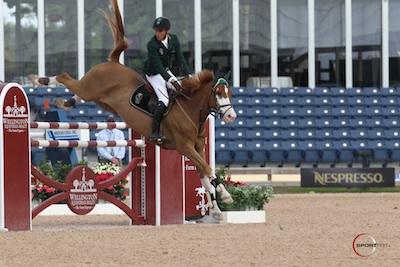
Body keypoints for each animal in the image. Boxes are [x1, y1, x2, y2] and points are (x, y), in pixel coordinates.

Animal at [36, 0, 238, 222]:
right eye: (217, 93)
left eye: (229, 92)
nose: (231, 116)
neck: (190, 109)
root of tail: (113, 63)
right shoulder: (184, 147)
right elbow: (207, 169)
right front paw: (225, 197)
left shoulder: (198, 148)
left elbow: (206, 176)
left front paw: (218, 207)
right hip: (88, 88)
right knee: (65, 77)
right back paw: (39, 80)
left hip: (97, 98)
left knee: (76, 93)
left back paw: (65, 102)